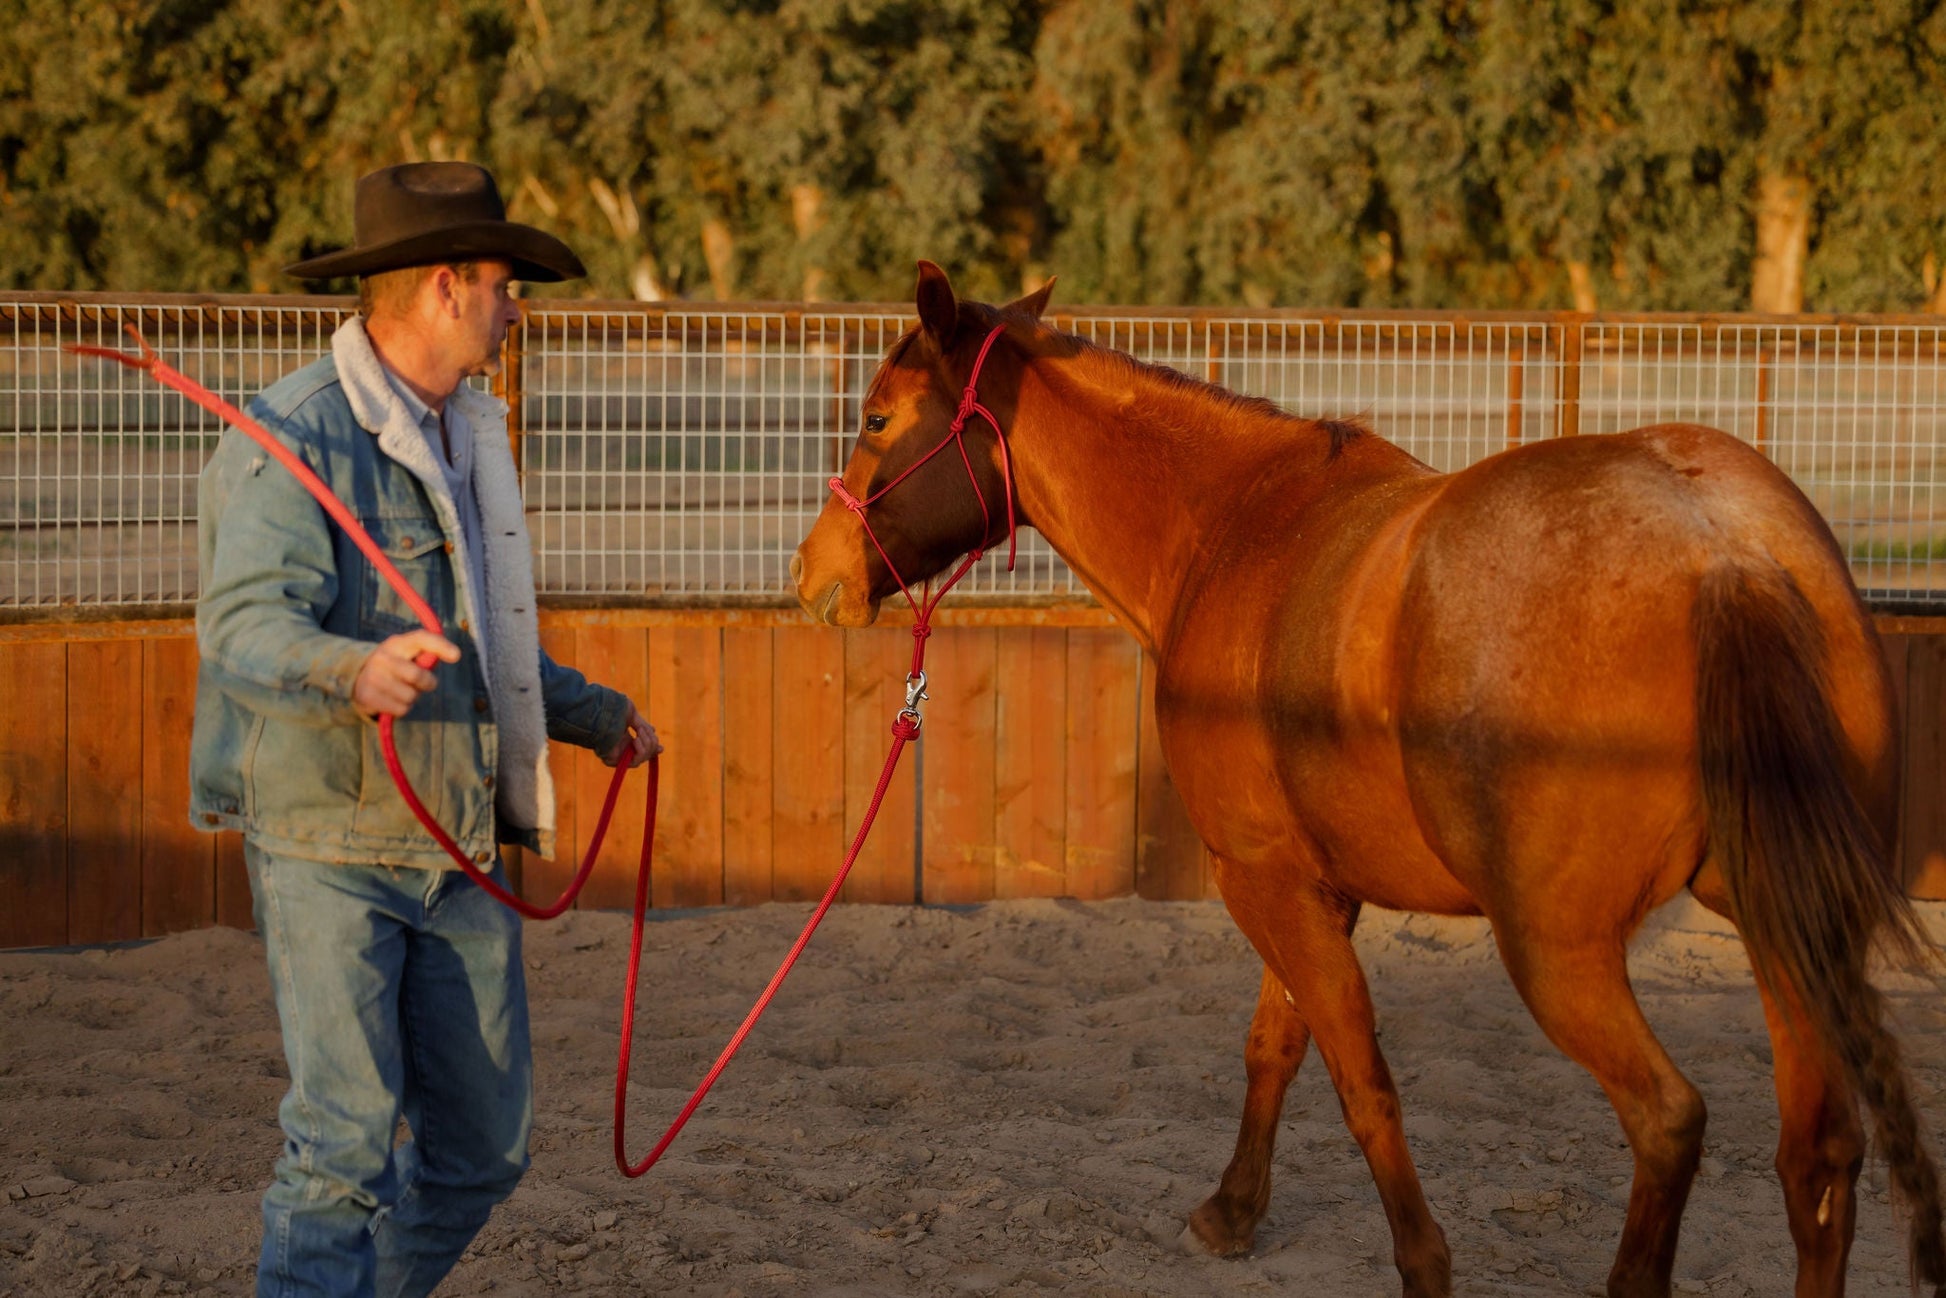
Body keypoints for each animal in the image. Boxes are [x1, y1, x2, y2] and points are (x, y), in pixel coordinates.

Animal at [789, 263, 1944, 1297]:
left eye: (878, 418)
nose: (812, 577)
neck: (1230, 526)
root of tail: (1720, 545)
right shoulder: (1311, 881)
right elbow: (1276, 1042)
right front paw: (1232, 1212)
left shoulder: (1259, 874)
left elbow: (1356, 1076)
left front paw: (1419, 1264)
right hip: (1787, 928)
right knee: (1817, 1157)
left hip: (1562, 953)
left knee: (1668, 1120)